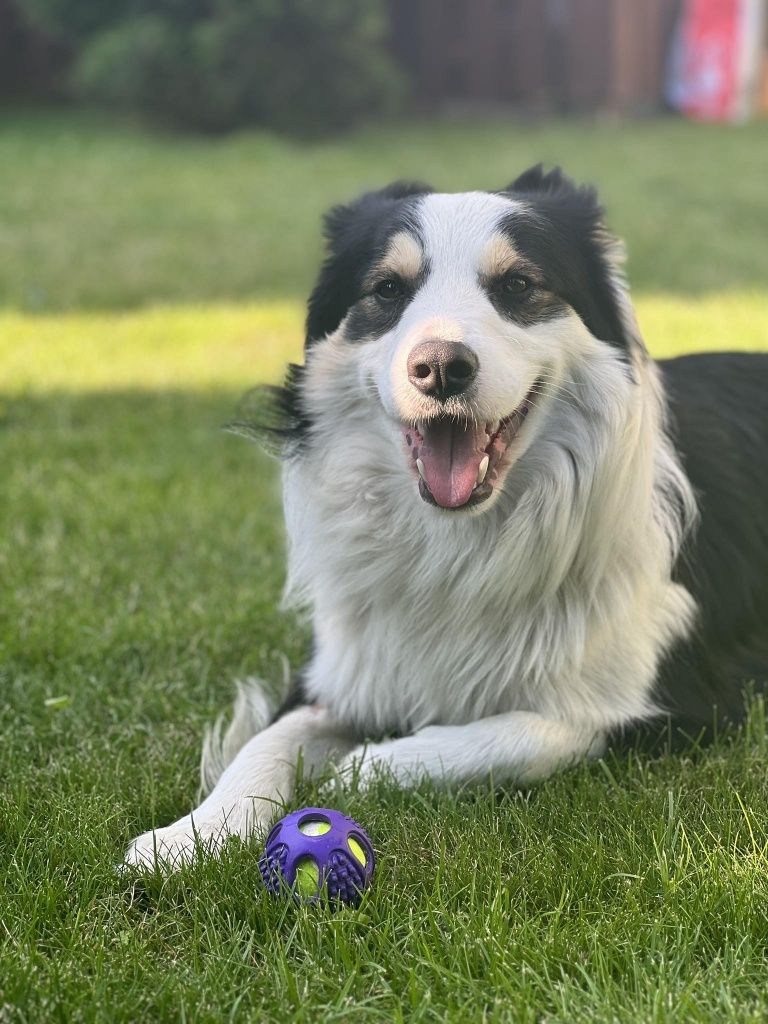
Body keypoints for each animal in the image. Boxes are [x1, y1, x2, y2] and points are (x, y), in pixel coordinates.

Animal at [123, 163, 765, 868]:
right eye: (387, 289)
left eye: (517, 285)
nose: (438, 368)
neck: (459, 540)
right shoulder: (341, 667)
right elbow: (263, 744)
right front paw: (189, 836)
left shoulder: (662, 704)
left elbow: (524, 734)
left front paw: (365, 764)